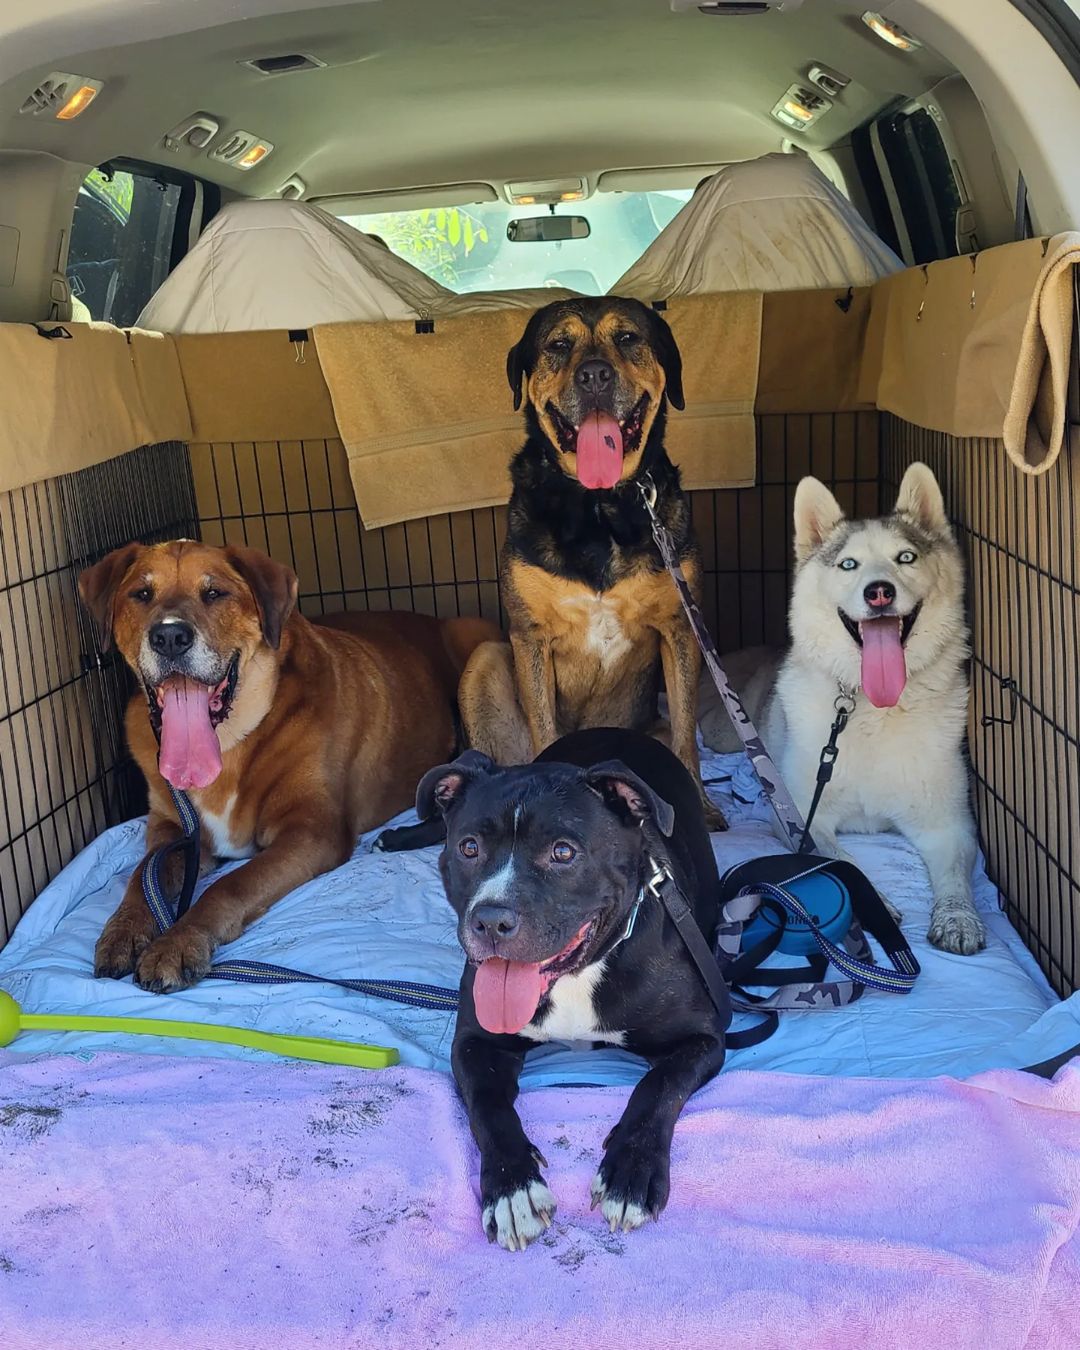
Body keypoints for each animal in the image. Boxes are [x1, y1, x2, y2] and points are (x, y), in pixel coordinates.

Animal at [80, 537, 502, 993]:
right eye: (141, 594)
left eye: (214, 593)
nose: (170, 636)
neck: (230, 740)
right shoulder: (171, 828)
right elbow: (144, 876)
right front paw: (124, 929)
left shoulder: (312, 831)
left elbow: (229, 886)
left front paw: (179, 942)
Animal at [418, 729, 729, 1252]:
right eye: (468, 847)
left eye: (563, 853)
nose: (490, 921)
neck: (576, 977)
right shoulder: (476, 1043)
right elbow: (488, 1108)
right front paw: (513, 1189)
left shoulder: (703, 1040)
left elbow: (658, 1087)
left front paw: (630, 1173)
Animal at [702, 464, 988, 961]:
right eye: (848, 564)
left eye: (906, 557)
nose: (879, 592)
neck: (874, 708)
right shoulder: (801, 817)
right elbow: (838, 859)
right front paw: (873, 899)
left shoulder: (948, 823)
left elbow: (955, 877)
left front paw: (958, 919)